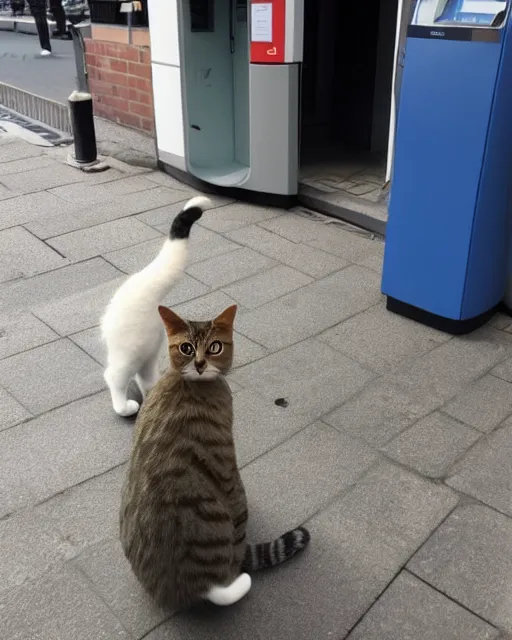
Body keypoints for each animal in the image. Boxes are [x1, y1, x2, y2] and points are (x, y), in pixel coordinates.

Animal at [120, 302, 310, 608]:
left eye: (215, 347)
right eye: (186, 348)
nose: (199, 364)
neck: (188, 382)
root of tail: (189, 588)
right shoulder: (229, 468)